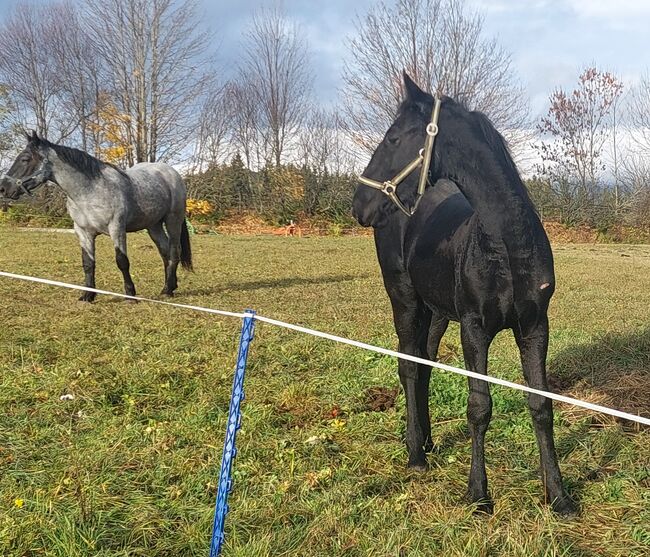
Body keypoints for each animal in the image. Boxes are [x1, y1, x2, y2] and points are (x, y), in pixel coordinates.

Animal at [0, 131, 192, 301]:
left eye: (25, 159)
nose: (3, 188)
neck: (90, 191)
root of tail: (171, 173)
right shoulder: (83, 233)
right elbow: (88, 263)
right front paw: (88, 295)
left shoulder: (117, 229)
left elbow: (122, 261)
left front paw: (130, 294)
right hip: (153, 225)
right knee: (165, 252)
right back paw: (170, 286)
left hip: (173, 220)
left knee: (174, 251)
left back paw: (167, 290)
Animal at [352, 73, 575, 515]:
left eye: (393, 138)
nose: (359, 203)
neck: (507, 247)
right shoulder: (474, 329)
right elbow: (479, 407)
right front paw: (478, 494)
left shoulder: (535, 328)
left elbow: (541, 405)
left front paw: (558, 495)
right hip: (405, 301)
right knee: (408, 366)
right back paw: (415, 456)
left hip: (436, 311)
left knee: (424, 364)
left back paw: (426, 442)